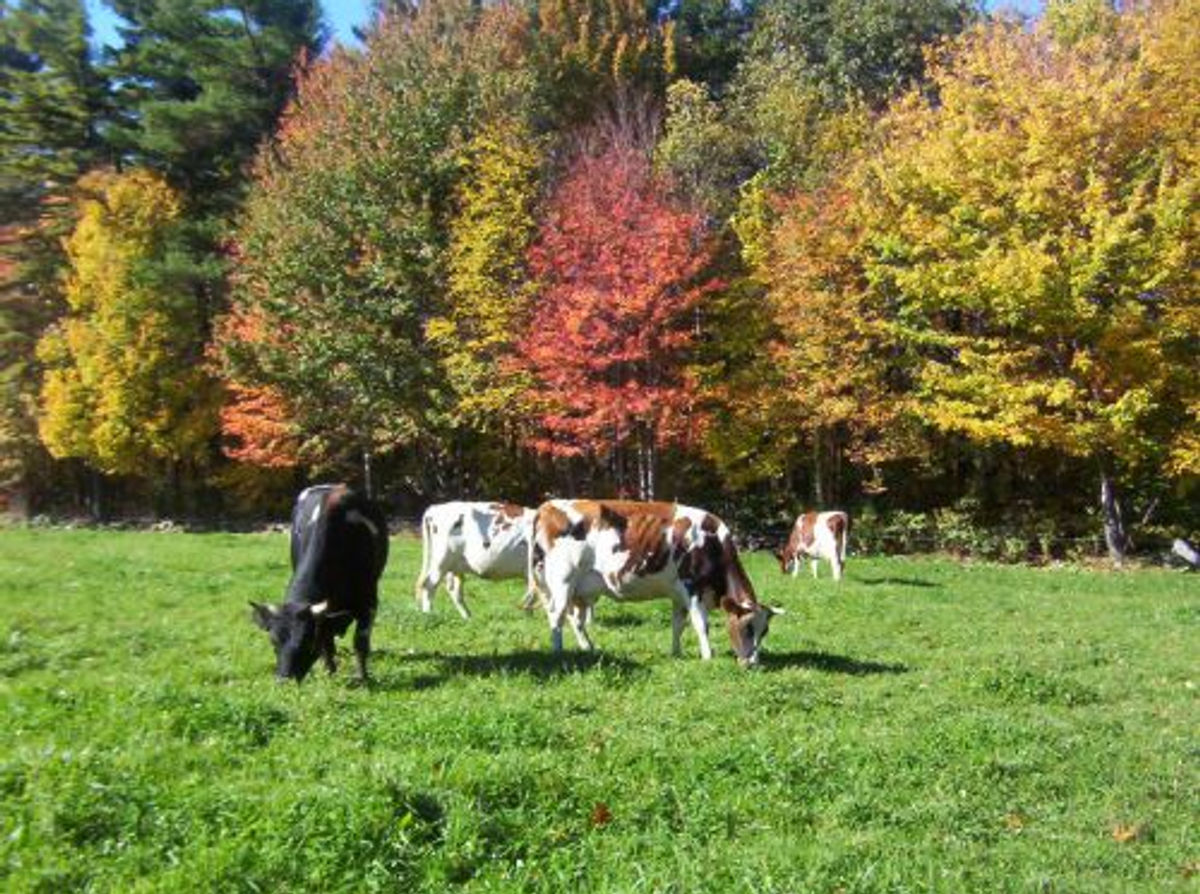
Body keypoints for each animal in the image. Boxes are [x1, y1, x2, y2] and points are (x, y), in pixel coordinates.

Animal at [250, 484, 389, 682]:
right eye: (273, 641)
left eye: (306, 640)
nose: (284, 680)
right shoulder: (326, 620)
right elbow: (326, 642)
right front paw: (329, 671)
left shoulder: (368, 603)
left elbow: (360, 643)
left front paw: (362, 677)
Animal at [530, 500, 782, 666]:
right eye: (747, 627)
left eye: (765, 631)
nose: (752, 663)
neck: (713, 543)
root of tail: (548, 505)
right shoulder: (693, 587)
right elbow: (701, 624)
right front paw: (708, 656)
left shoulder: (679, 595)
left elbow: (678, 624)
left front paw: (677, 653)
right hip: (562, 580)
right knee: (556, 615)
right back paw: (559, 652)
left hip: (580, 591)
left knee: (576, 620)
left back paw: (588, 649)